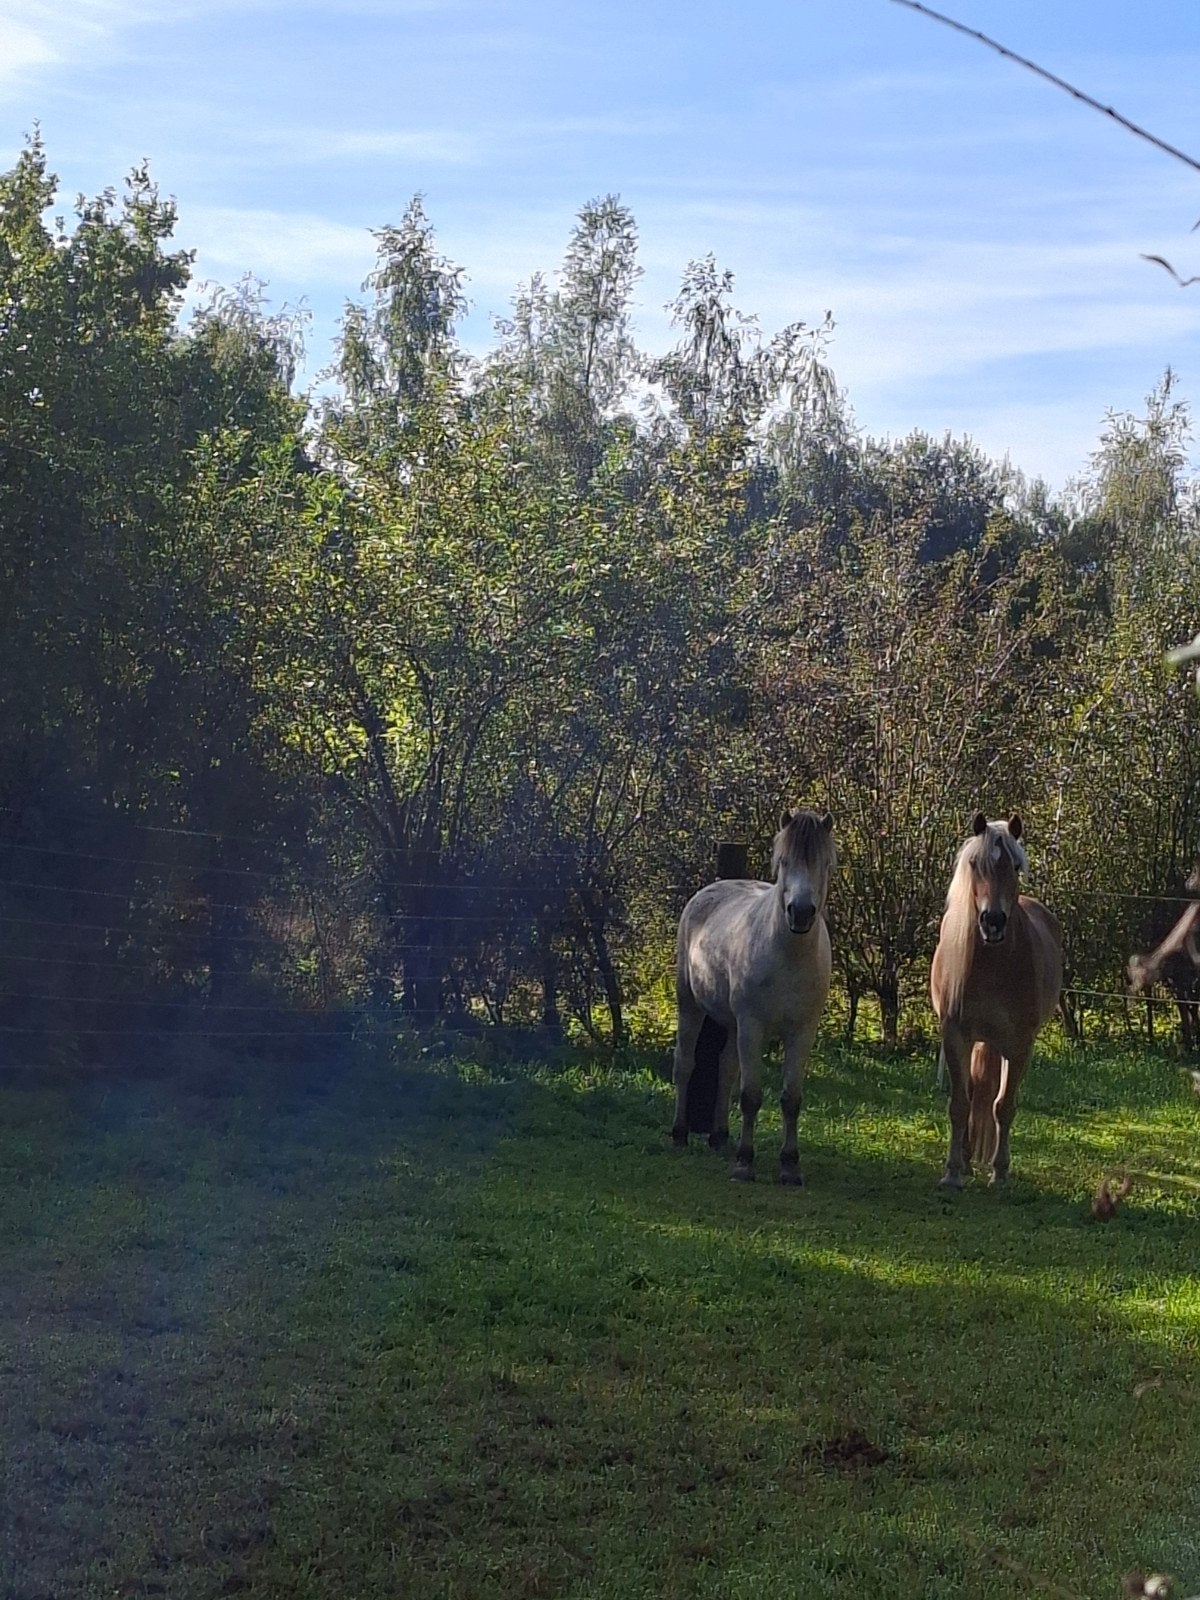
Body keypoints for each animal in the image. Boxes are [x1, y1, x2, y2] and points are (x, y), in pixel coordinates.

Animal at [671, 808, 836, 1184]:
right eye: (784, 861)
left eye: (824, 863)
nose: (800, 912)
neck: (788, 956)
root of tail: (713, 888)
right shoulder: (753, 1026)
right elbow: (750, 1096)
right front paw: (744, 1162)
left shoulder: (802, 1032)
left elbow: (791, 1098)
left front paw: (790, 1166)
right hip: (691, 1006)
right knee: (685, 1065)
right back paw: (680, 1134)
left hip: (733, 1025)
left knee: (726, 1069)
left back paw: (718, 1137)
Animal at [930, 813, 1062, 1189]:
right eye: (975, 864)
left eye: (1015, 866)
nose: (993, 921)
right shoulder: (955, 1035)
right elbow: (960, 1103)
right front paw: (952, 1172)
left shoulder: (1018, 1045)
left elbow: (1004, 1106)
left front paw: (1000, 1173)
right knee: (974, 1094)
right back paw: (966, 1159)